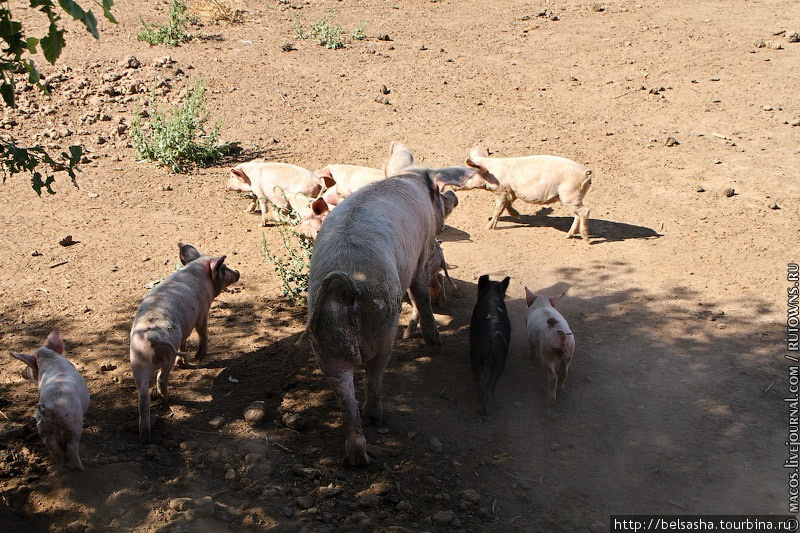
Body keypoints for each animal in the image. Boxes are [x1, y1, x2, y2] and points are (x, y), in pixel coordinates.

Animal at [10, 328, 90, 470]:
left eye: (28, 367)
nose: (23, 373)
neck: (49, 358)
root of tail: (51, 407)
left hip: (43, 425)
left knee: (52, 444)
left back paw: (58, 465)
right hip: (74, 422)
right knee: (71, 446)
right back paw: (80, 468)